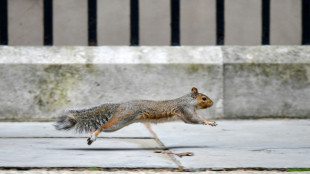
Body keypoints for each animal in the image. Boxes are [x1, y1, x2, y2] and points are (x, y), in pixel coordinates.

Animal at [54, 87, 217, 145]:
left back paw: (91, 136)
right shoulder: (186, 110)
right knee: (102, 126)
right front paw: (209, 122)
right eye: (204, 98)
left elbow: (191, 121)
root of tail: (120, 105)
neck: (188, 100)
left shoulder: (185, 114)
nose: (212, 103)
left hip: (121, 122)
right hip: (120, 120)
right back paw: (93, 136)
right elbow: (194, 120)